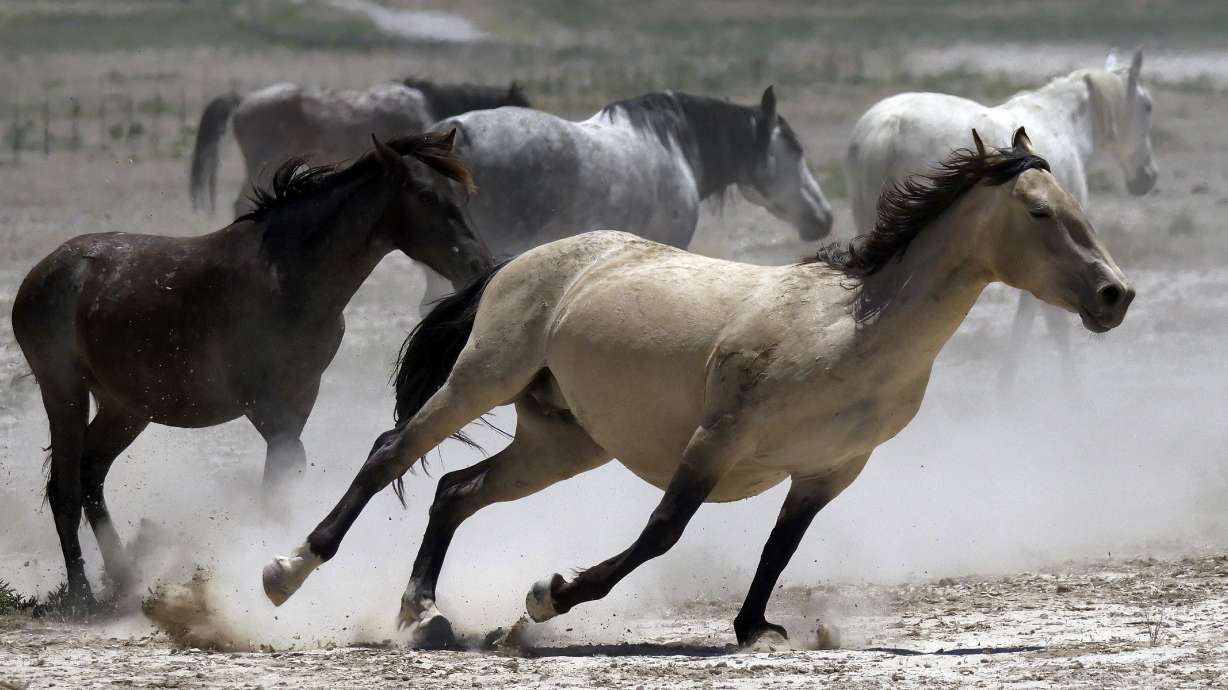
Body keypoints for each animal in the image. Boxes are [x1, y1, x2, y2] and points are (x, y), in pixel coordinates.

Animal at [12, 132, 491, 611]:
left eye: (461, 195)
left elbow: (283, 479)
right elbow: (281, 478)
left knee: (91, 474)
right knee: (65, 489)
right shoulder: (264, 405)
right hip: (65, 393)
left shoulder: (300, 397)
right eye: (425, 195)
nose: (477, 265)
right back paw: (82, 595)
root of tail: (41, 272)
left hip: (125, 408)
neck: (291, 276)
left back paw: (126, 579)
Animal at [262, 128, 1134, 649]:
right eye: (1039, 211)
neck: (854, 330)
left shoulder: (826, 472)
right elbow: (663, 532)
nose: (1114, 295)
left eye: (1076, 205)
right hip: (483, 378)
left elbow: (781, 548)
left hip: (562, 442)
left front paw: (755, 626)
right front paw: (548, 597)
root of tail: (519, 262)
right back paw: (288, 570)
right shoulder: (717, 439)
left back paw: (419, 612)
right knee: (390, 453)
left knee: (453, 490)